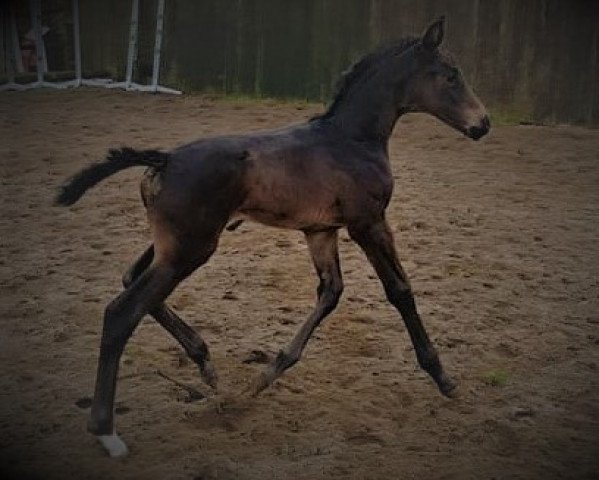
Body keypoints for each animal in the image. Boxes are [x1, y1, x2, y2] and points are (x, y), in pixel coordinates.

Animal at [56, 16, 490, 456]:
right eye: (451, 75)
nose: (483, 124)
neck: (352, 139)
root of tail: (164, 158)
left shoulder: (320, 230)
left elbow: (331, 292)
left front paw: (263, 377)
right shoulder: (368, 223)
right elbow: (400, 291)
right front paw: (443, 378)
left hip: (174, 246)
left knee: (131, 279)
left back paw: (205, 362)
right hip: (190, 250)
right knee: (122, 312)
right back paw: (107, 431)